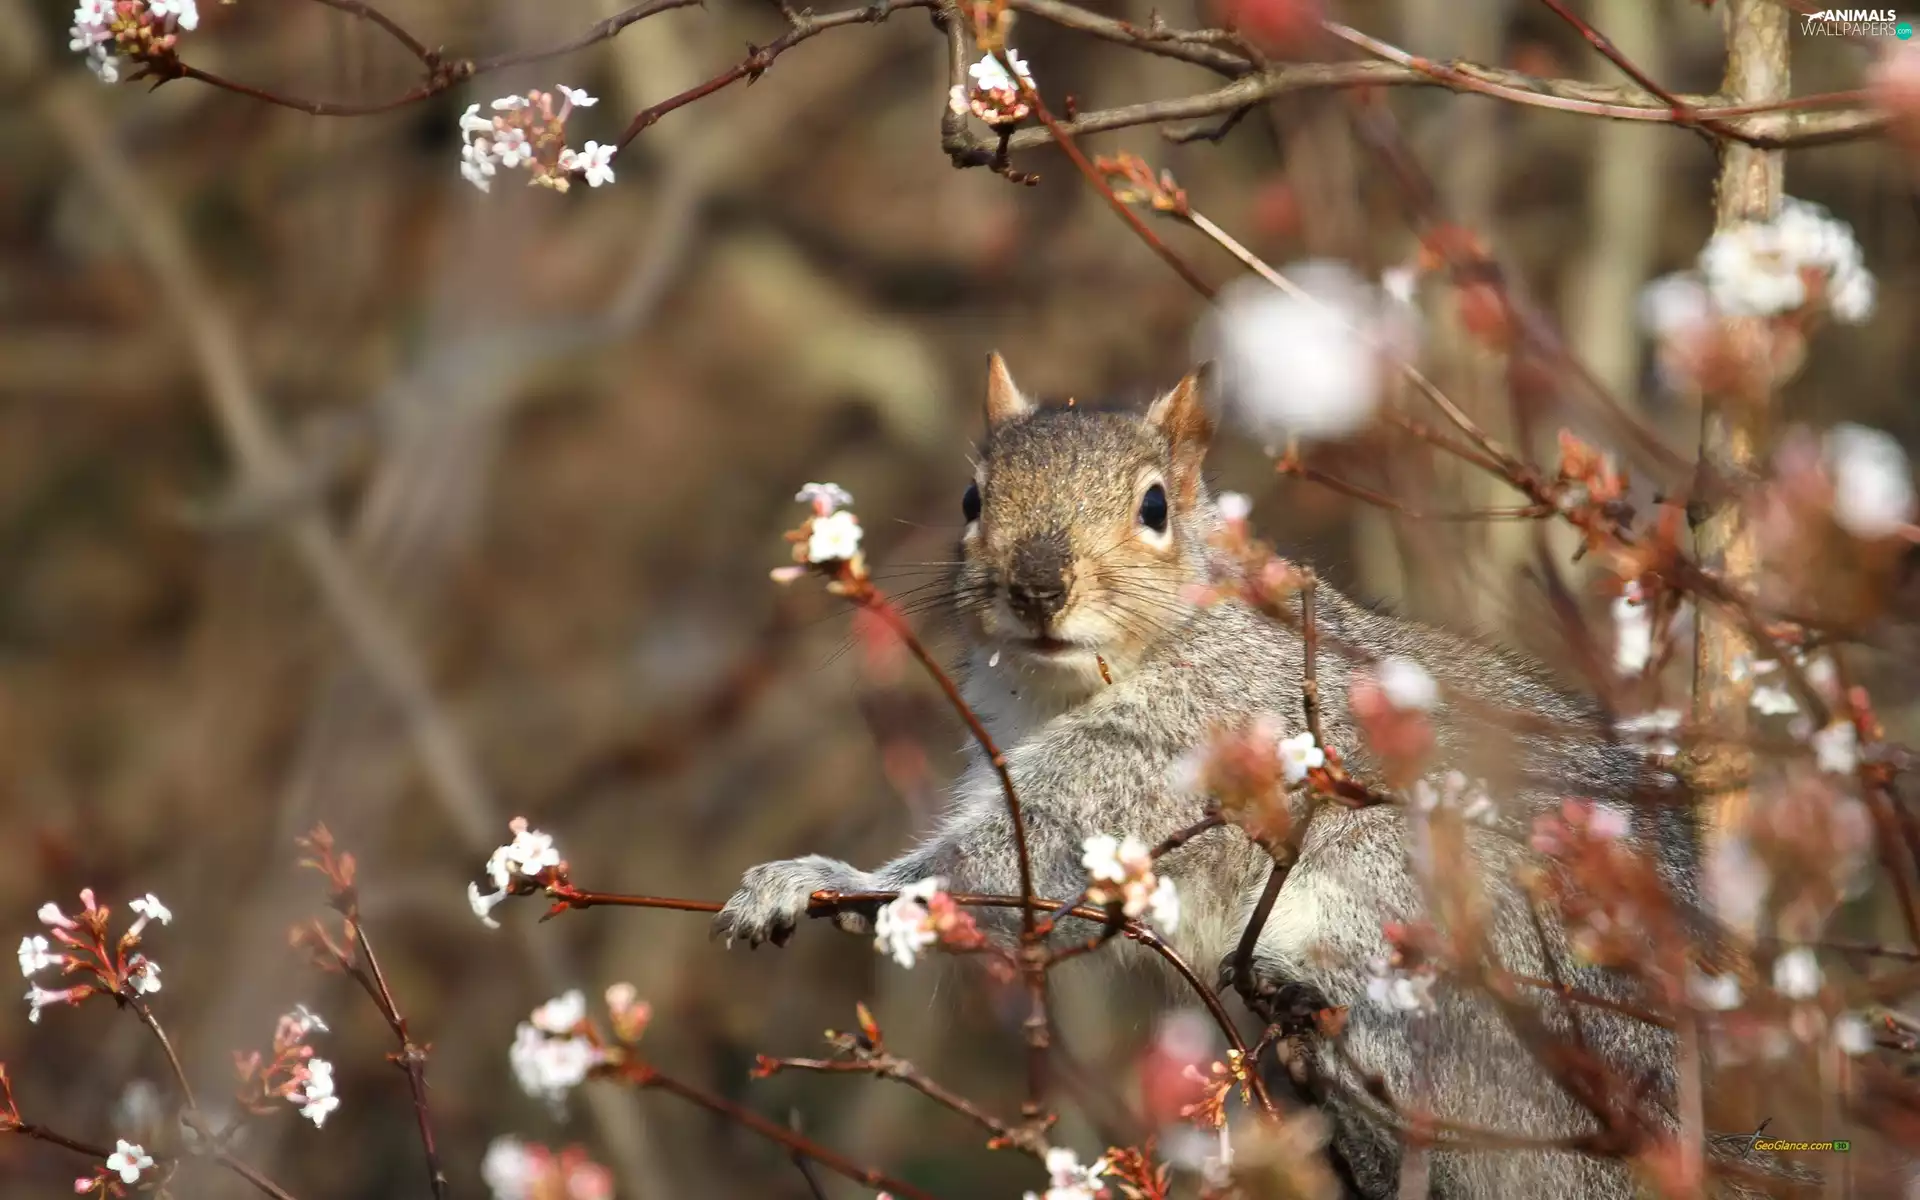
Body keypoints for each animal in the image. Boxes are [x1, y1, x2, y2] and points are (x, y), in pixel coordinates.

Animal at [715, 353, 1699, 1199]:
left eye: (1155, 507)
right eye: (970, 498)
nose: (1037, 584)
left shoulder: (1161, 752)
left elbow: (1007, 860)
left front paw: (819, 881)